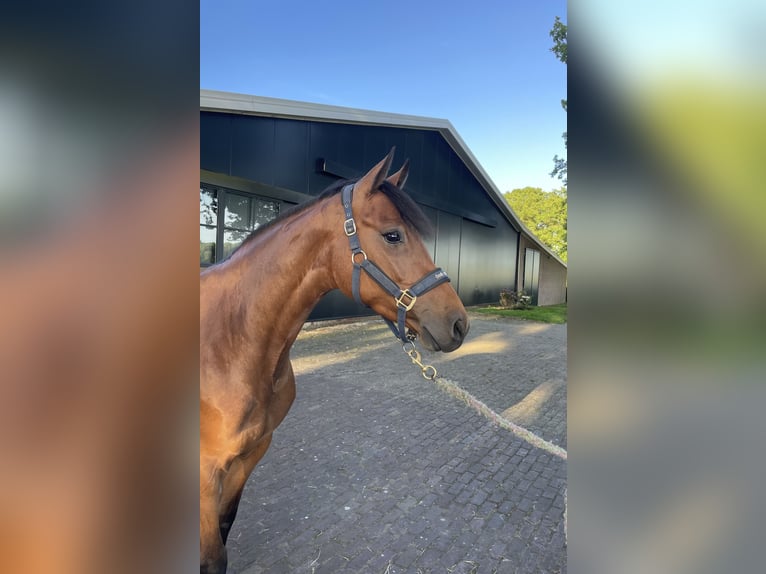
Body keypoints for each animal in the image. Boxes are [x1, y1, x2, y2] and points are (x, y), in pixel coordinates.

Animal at [199, 149, 470, 573]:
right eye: (393, 235)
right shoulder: (205, 473)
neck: (228, 338)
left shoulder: (248, 457)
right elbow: (211, 557)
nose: (459, 324)